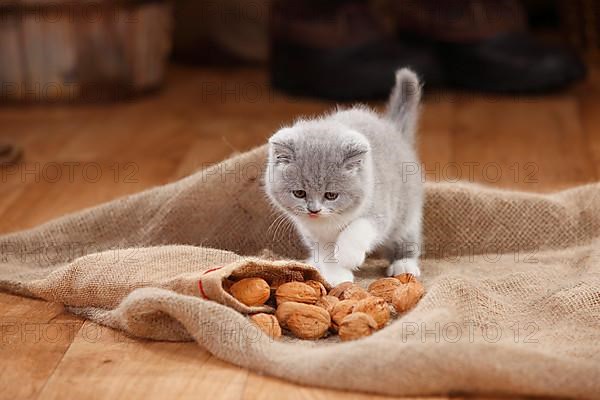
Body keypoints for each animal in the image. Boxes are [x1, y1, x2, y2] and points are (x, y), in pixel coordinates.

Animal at [264, 70, 424, 286]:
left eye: (331, 195)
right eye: (299, 193)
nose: (313, 210)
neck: (329, 223)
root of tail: (393, 130)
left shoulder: (380, 208)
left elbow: (360, 227)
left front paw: (348, 256)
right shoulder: (312, 233)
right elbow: (325, 252)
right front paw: (336, 276)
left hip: (406, 211)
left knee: (405, 235)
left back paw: (404, 263)